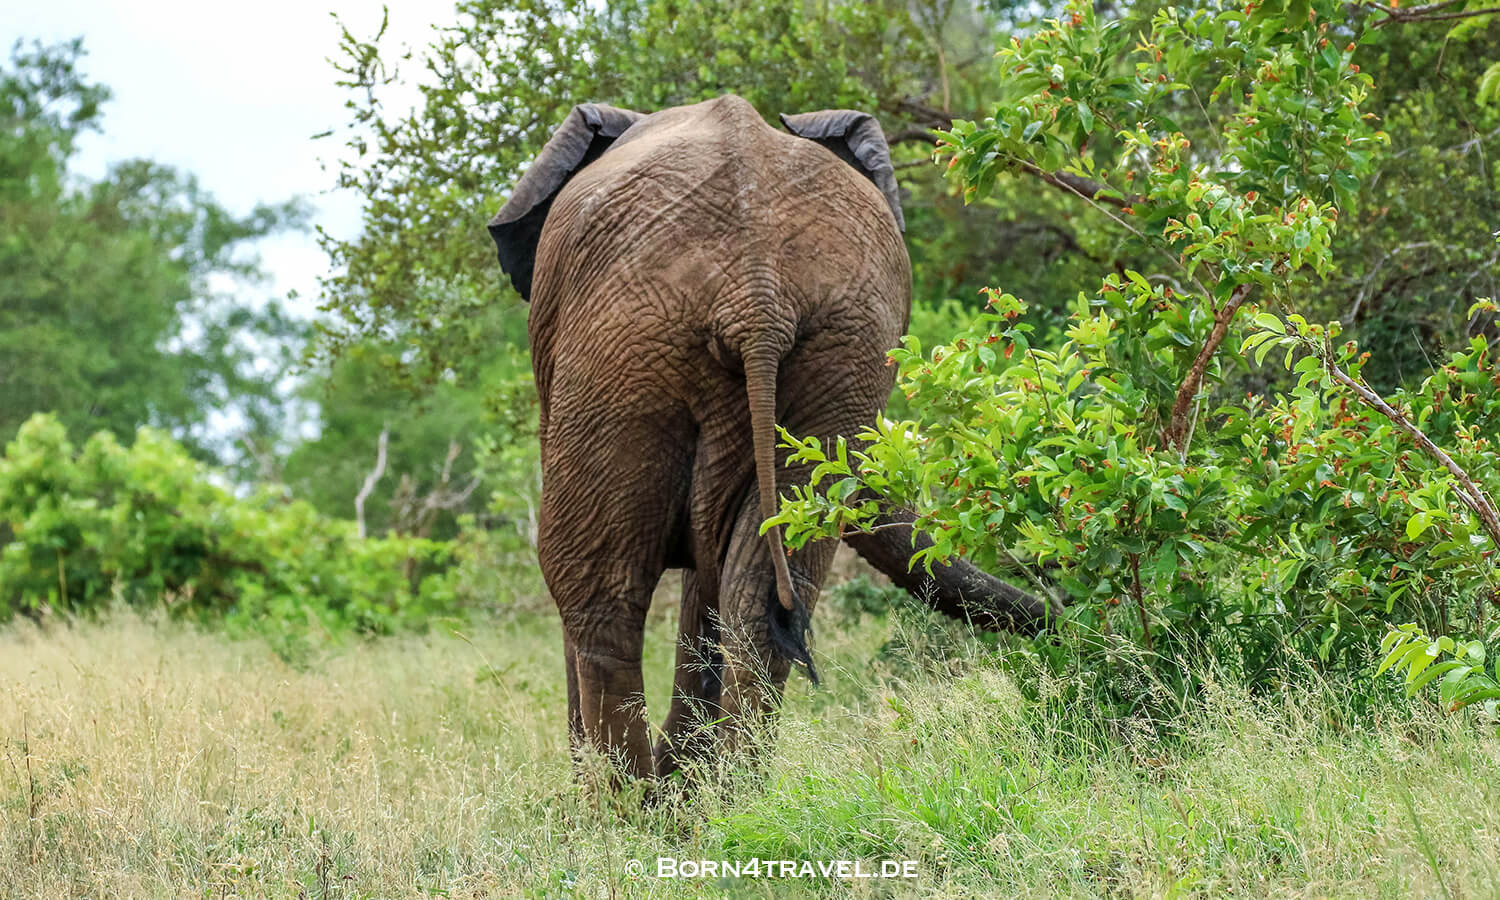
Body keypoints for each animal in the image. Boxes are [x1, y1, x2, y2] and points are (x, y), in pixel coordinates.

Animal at [487, 95, 1055, 783]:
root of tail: (757, 294)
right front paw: (687, 780)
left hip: (619, 344)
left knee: (596, 585)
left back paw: (619, 805)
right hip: (841, 348)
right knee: (760, 595)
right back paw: (723, 797)